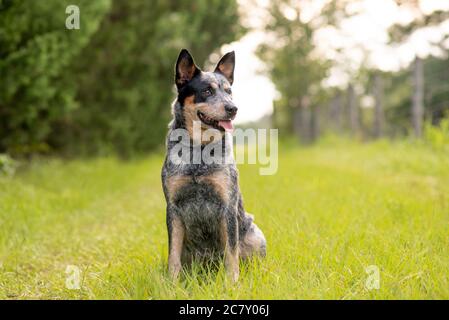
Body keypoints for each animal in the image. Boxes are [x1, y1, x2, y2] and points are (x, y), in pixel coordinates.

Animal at [161, 48, 266, 282]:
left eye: (229, 91)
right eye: (207, 91)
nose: (233, 108)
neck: (198, 151)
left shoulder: (227, 205)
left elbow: (231, 252)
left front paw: (232, 282)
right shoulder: (173, 207)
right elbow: (173, 254)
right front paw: (171, 283)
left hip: (255, 232)